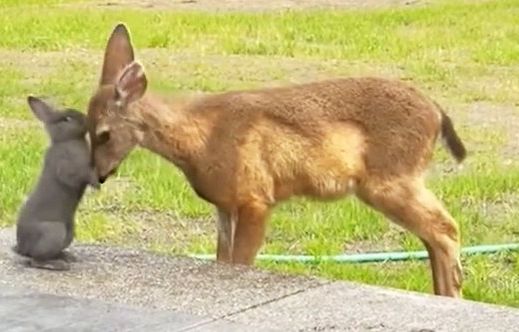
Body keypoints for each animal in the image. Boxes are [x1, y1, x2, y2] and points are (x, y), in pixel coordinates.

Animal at [12, 95, 100, 270]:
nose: (87, 119)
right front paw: (97, 183)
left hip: (69, 233)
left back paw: (68, 257)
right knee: (36, 260)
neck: (67, 140)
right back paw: (59, 264)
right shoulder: (66, 167)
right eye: (66, 119)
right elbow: (79, 176)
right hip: (54, 232)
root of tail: (22, 248)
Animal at [85, 24, 468, 298]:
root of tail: (437, 114)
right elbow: (223, 258)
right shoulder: (225, 205)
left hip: (390, 178)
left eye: (103, 133)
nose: (99, 175)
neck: (200, 140)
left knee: (446, 228)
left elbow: (242, 262)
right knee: (434, 235)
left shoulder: (255, 196)